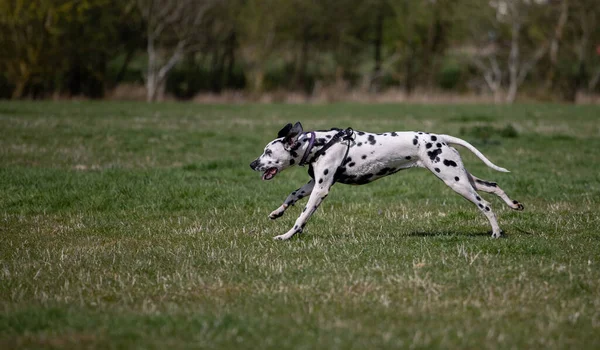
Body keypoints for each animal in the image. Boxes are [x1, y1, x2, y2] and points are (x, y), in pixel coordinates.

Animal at [248, 121, 520, 239]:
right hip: (461, 176)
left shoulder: (321, 190)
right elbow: (292, 195)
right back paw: (514, 204)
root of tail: (438, 137)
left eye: (268, 152)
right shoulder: (314, 184)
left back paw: (496, 233)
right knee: (493, 186)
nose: (252, 164)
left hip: (455, 182)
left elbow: (302, 217)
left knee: (485, 205)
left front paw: (286, 235)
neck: (321, 144)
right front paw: (277, 212)